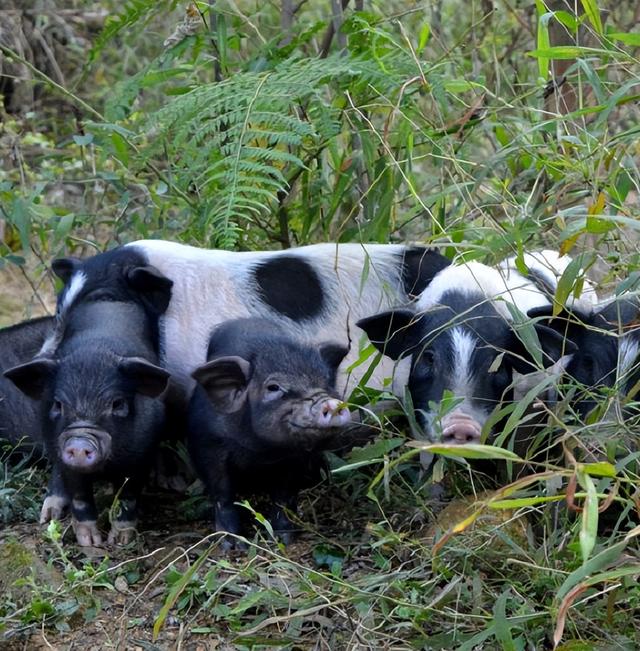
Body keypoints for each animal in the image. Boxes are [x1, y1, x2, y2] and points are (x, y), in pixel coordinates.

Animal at [5, 298, 170, 548]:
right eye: (58, 404)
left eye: (117, 403)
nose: (80, 443)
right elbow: (79, 496)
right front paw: (90, 542)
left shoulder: (143, 453)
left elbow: (129, 496)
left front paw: (120, 541)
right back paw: (49, 516)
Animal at [188, 316, 352, 544]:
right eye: (273, 387)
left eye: (327, 381)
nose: (331, 403)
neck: (260, 450)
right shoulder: (208, 444)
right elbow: (222, 493)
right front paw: (233, 544)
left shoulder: (294, 458)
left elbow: (283, 494)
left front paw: (284, 538)